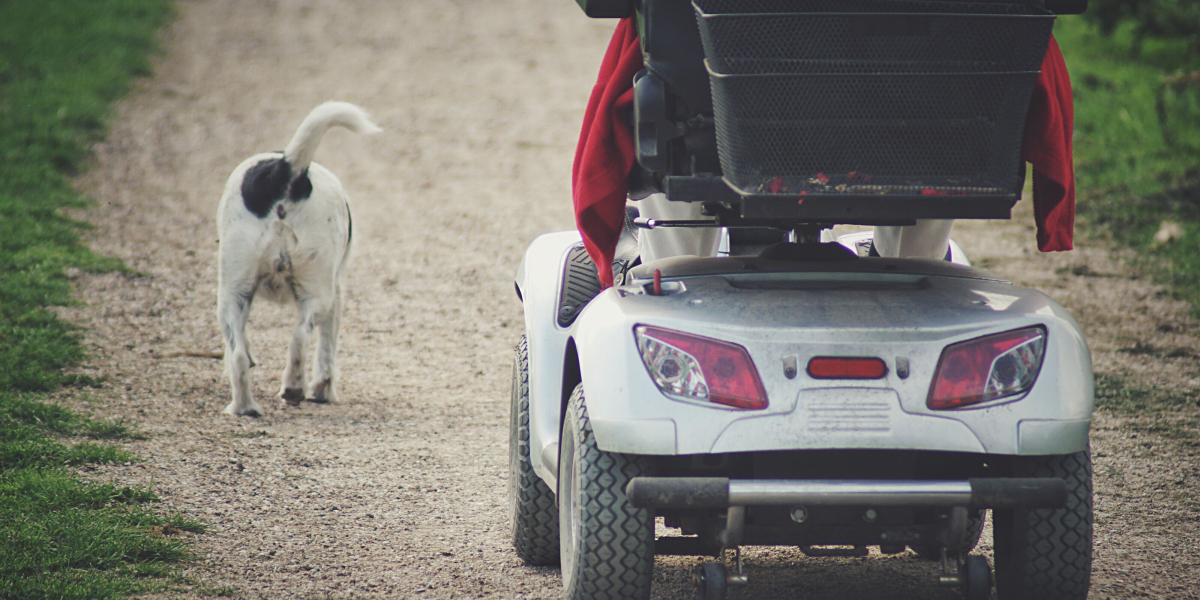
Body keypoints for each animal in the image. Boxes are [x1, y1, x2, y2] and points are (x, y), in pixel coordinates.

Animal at [216, 99, 379, 417]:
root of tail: (287, 170)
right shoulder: (337, 292)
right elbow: (327, 349)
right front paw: (323, 390)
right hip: (317, 291)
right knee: (301, 335)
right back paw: (291, 389)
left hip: (234, 293)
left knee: (244, 353)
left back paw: (245, 407)